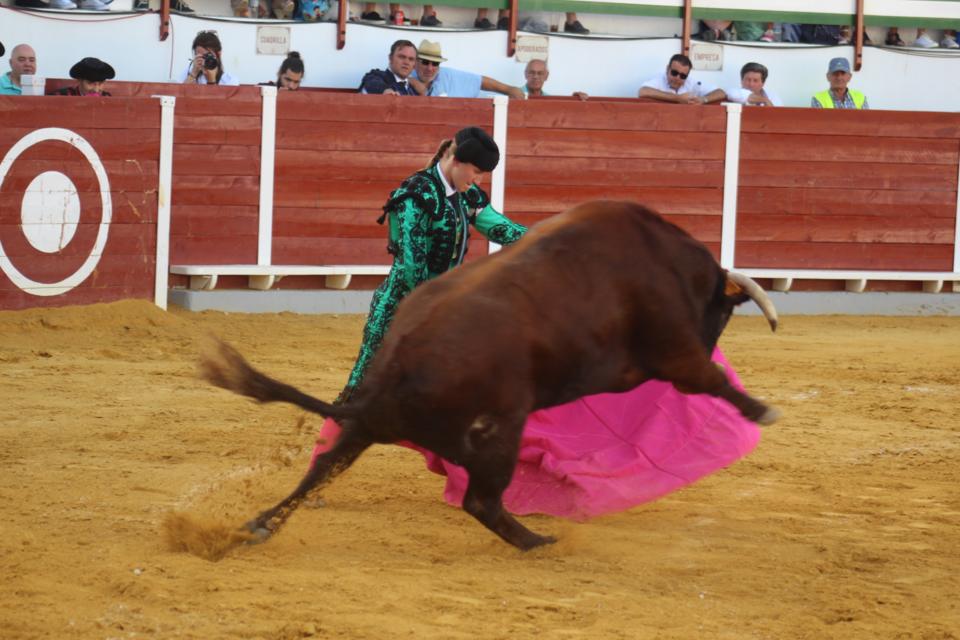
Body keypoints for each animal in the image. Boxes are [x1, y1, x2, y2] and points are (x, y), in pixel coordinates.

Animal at [201, 200, 779, 551]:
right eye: (723, 315)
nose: (713, 338)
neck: (668, 261)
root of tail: (388, 382)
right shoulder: (675, 350)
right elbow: (711, 380)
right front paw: (761, 410)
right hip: (500, 430)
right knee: (481, 500)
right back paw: (536, 542)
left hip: (364, 429)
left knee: (324, 467)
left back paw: (261, 523)